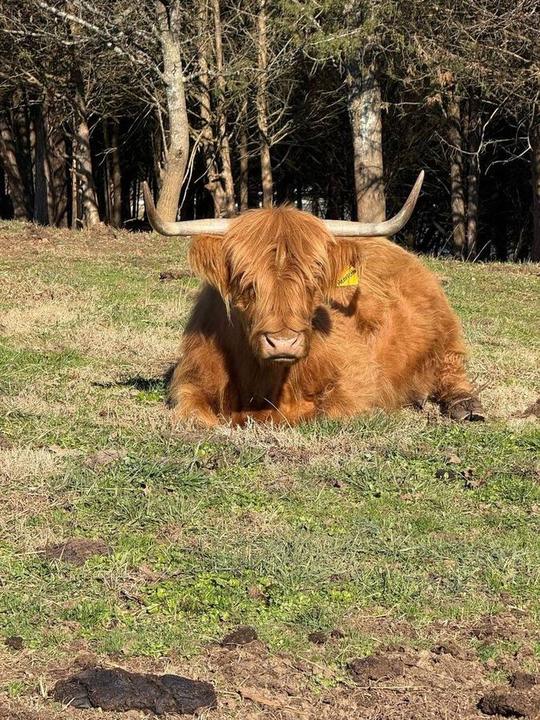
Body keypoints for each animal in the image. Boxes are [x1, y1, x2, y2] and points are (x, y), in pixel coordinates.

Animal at [142, 173, 484, 427]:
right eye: (245, 280)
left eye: (313, 280)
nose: (283, 342)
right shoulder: (190, 378)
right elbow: (193, 414)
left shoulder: (357, 382)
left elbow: (316, 412)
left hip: (446, 336)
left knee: (451, 368)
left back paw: (466, 405)